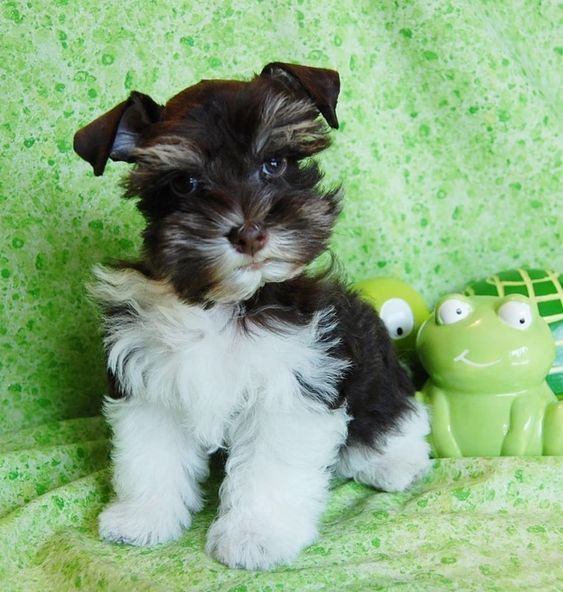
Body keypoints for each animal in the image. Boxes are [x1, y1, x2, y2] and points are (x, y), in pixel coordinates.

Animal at [72, 63, 430, 568]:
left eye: (274, 164)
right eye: (184, 184)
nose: (250, 233)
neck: (224, 304)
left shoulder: (292, 389)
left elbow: (269, 469)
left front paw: (256, 535)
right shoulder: (150, 382)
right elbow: (151, 455)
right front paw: (144, 517)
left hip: (374, 371)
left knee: (392, 416)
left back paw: (393, 463)